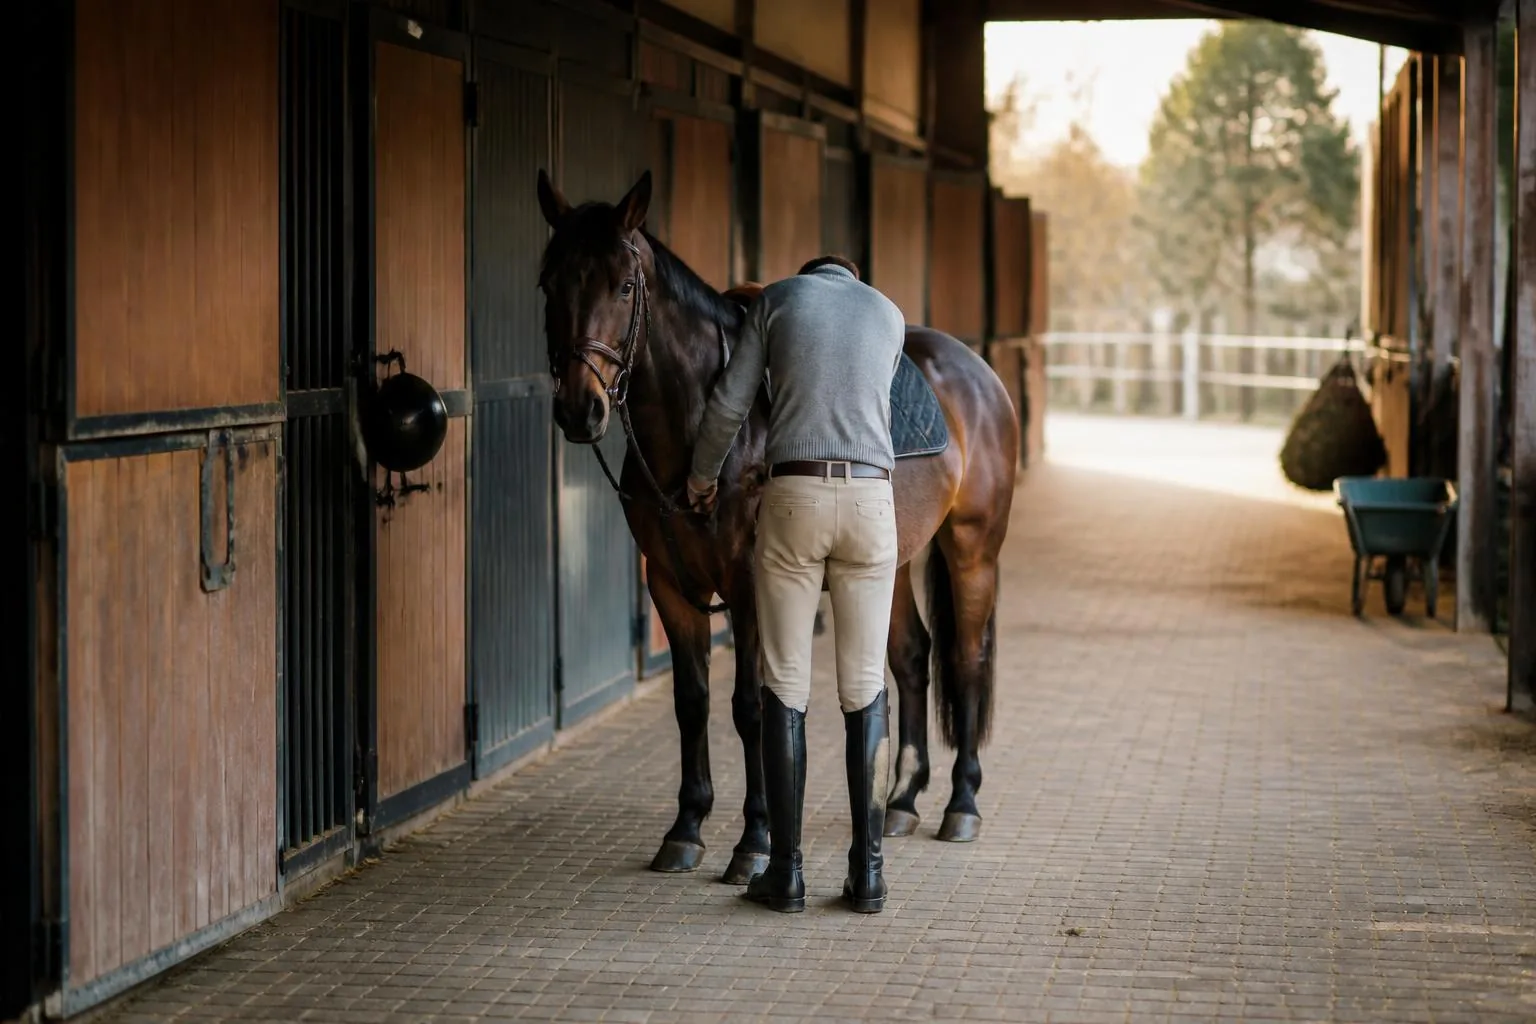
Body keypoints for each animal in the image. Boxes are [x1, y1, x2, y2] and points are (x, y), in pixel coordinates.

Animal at [536, 168, 1019, 885]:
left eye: (623, 285)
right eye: (549, 282)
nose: (579, 409)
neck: (704, 429)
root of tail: (976, 373)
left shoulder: (748, 587)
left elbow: (752, 706)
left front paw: (753, 841)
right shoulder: (669, 587)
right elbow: (692, 702)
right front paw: (685, 829)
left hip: (972, 550)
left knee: (966, 659)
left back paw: (961, 804)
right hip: (895, 560)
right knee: (910, 659)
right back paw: (902, 801)